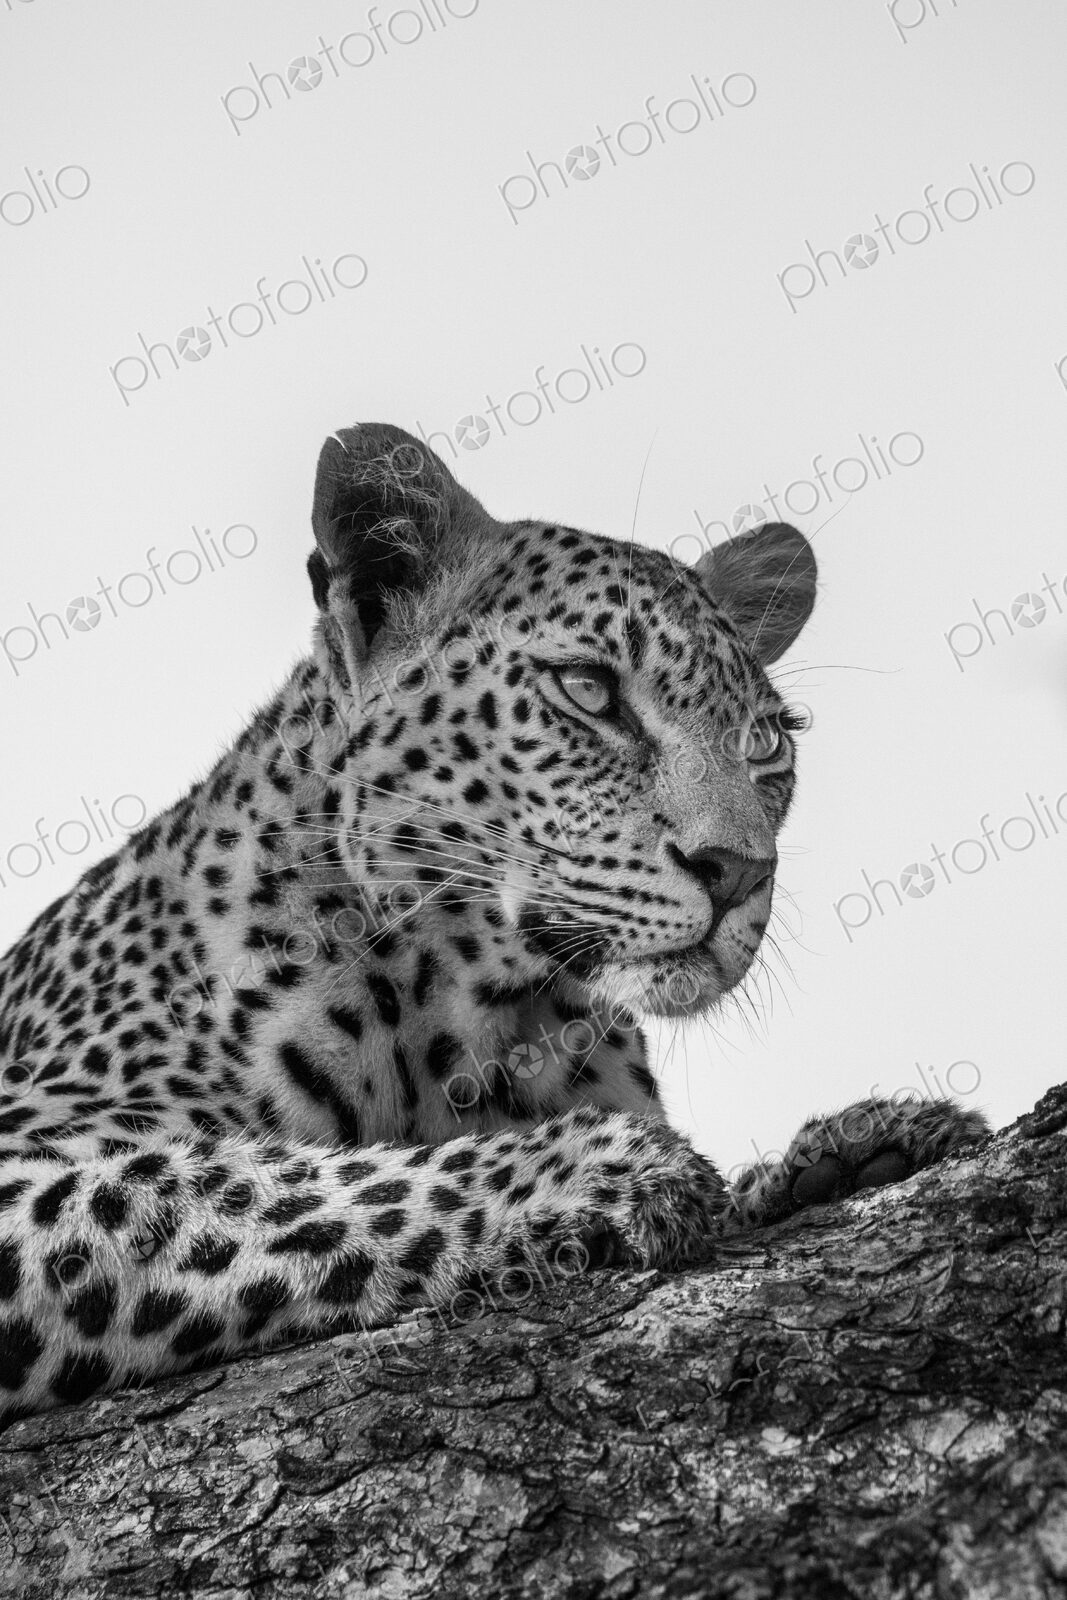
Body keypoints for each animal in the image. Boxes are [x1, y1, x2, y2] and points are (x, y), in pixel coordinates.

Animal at [0, 422, 989, 1420]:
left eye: (766, 742)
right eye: (588, 690)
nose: (740, 870)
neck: (477, 1017)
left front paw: (836, 1156)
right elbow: (226, 1181)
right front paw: (595, 1170)